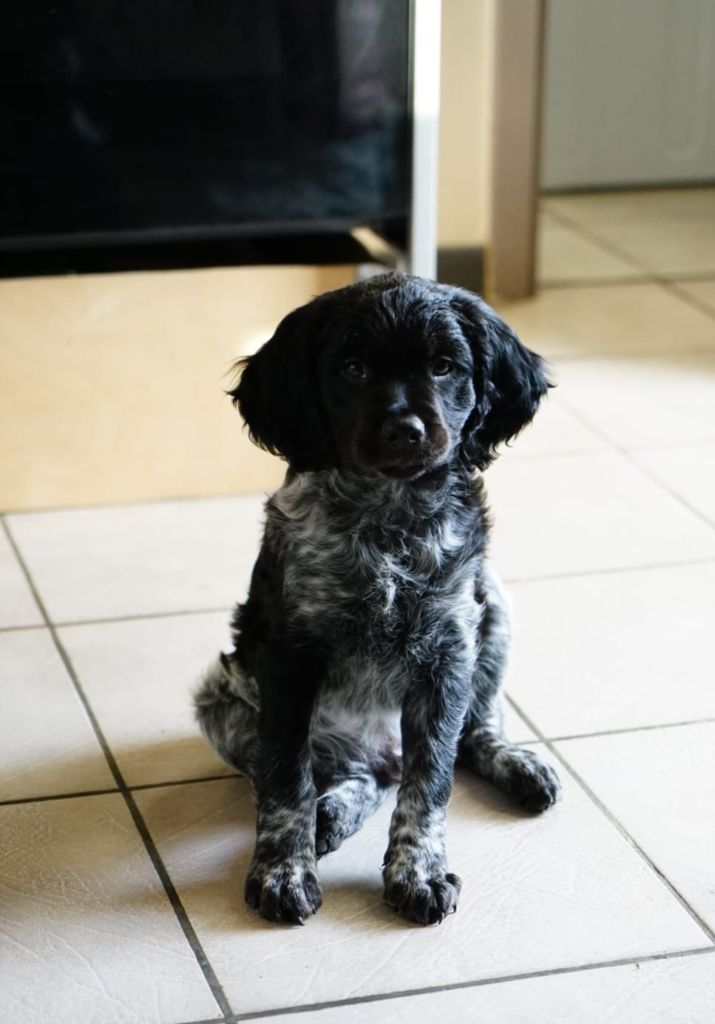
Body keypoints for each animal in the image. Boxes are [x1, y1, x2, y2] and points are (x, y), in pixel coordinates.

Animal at [193, 272, 557, 929]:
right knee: (355, 775)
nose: (405, 431)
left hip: (495, 608)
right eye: (353, 369)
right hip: (222, 700)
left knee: (469, 733)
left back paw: (516, 764)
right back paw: (328, 817)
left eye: (444, 367)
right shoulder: (288, 655)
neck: (389, 522)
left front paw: (418, 871)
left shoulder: (449, 651)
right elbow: (285, 777)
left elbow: (431, 778)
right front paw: (283, 872)